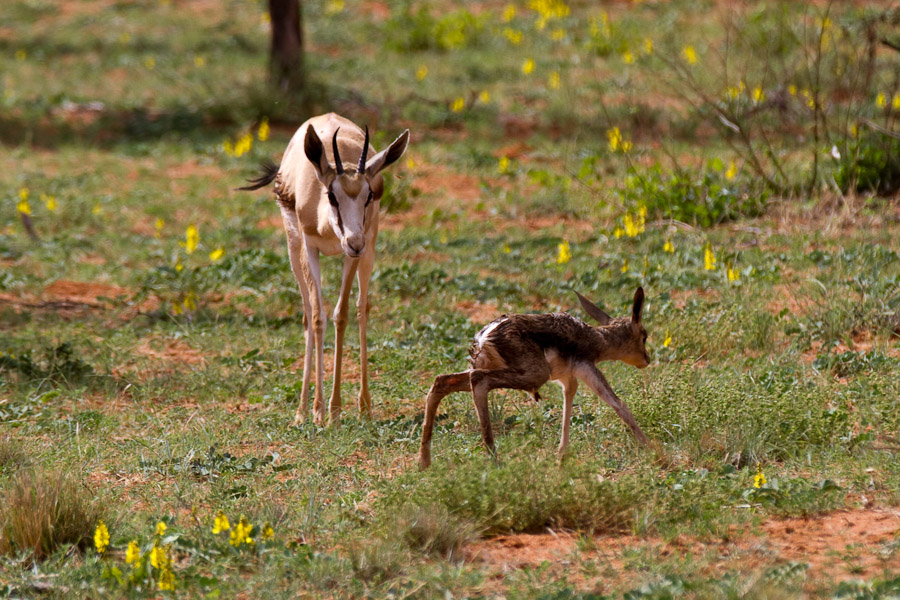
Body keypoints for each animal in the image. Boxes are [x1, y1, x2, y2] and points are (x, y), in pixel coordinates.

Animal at [418, 288, 652, 468]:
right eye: (644, 335)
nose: (647, 359)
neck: (596, 339)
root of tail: (485, 335)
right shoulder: (586, 368)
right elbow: (618, 404)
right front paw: (655, 453)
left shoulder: (568, 379)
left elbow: (568, 403)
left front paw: (561, 457)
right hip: (533, 375)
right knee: (478, 380)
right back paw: (494, 461)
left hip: (497, 370)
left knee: (442, 381)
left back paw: (424, 463)